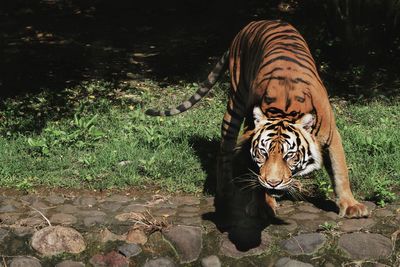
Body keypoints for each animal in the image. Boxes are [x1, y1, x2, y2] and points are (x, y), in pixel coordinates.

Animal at [146, 19, 368, 219]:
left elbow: (340, 172)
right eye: (263, 153)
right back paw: (226, 191)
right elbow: (255, 173)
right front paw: (263, 204)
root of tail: (255, 23)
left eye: (290, 155)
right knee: (224, 150)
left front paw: (351, 206)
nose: (273, 183)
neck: (285, 110)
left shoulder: (331, 136)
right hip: (235, 104)